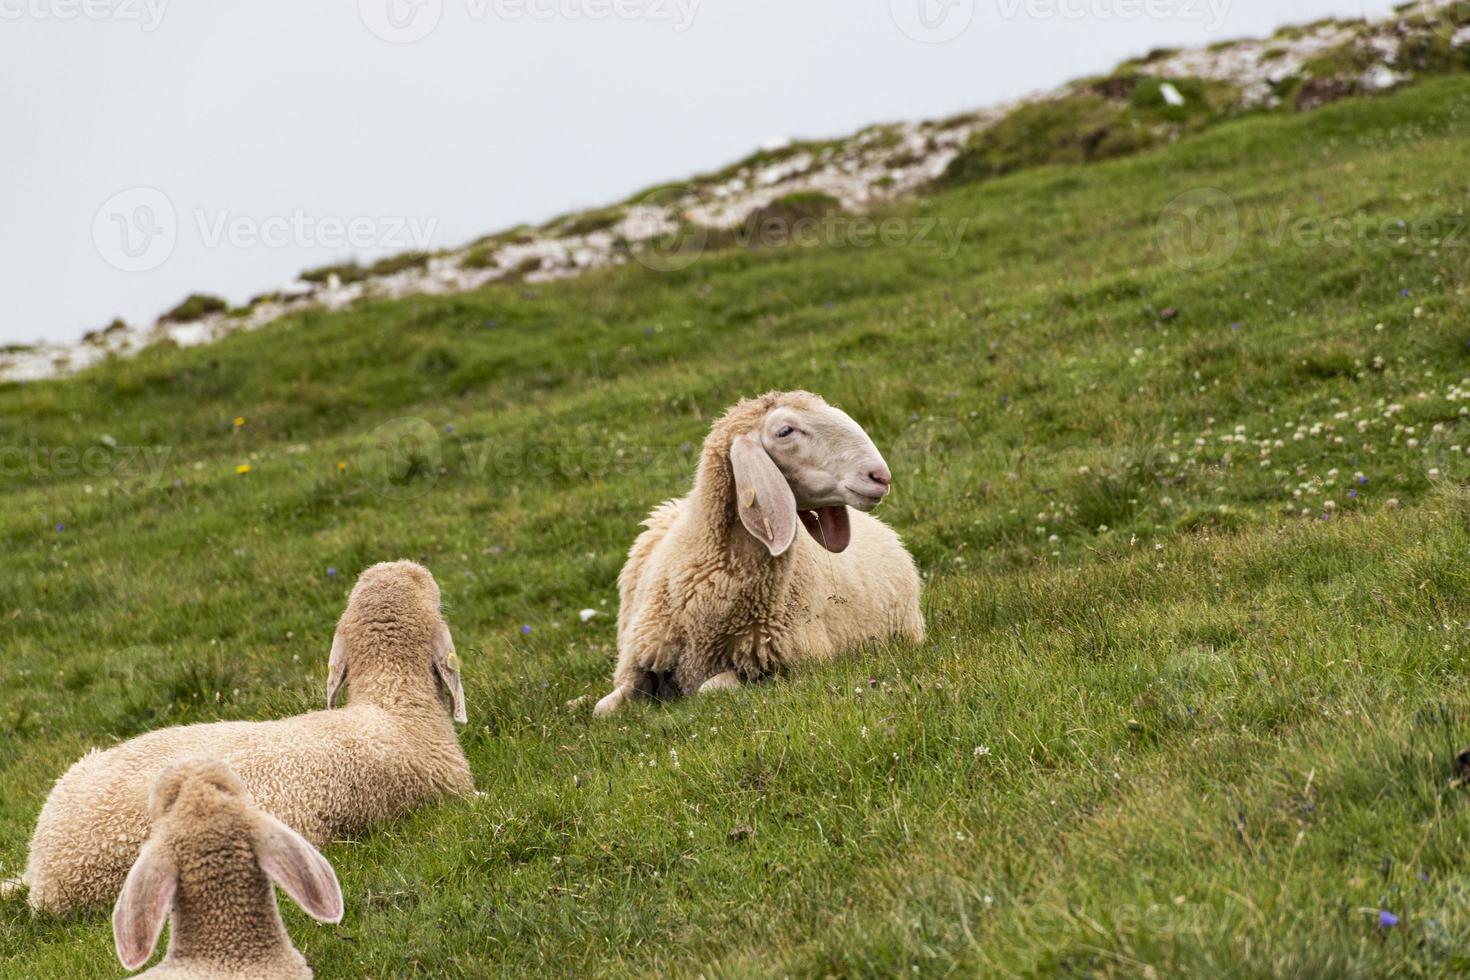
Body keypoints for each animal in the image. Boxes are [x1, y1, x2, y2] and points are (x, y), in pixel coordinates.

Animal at [593, 387, 917, 717]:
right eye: (785, 431)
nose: (880, 476)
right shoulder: (641, 662)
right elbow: (601, 707)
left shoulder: (781, 667)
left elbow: (710, 688)